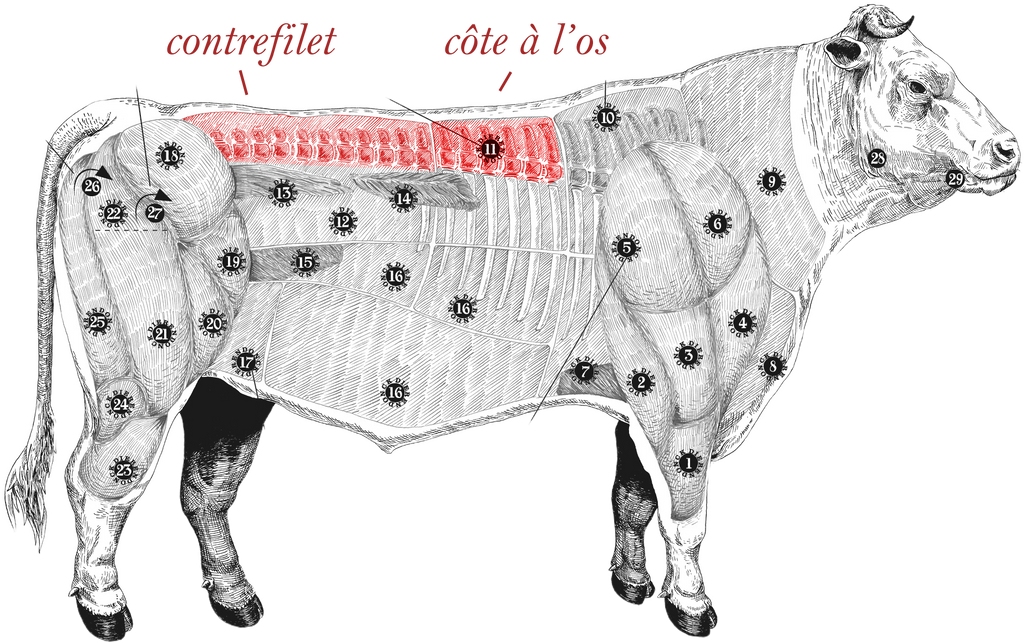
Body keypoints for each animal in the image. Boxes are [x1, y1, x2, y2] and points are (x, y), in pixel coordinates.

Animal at [3, 2, 1018, 640]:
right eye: (919, 87)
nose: (1012, 147)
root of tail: (138, 111)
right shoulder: (694, 386)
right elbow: (689, 510)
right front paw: (693, 611)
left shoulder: (643, 390)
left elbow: (631, 492)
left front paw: (630, 588)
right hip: (140, 367)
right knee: (100, 481)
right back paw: (106, 611)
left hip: (229, 378)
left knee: (204, 487)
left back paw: (238, 602)